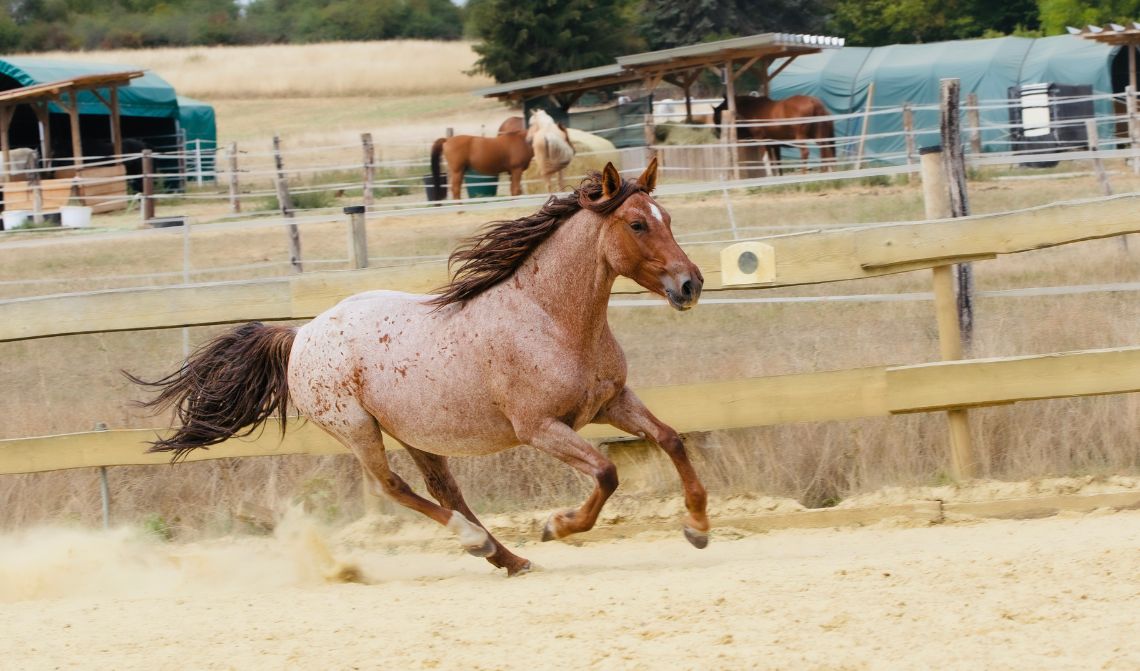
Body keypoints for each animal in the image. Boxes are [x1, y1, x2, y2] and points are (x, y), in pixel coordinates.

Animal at [129, 158, 706, 576]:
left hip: (414, 430)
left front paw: (698, 526)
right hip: (358, 429)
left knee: (443, 489)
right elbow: (607, 473)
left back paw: (506, 557)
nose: (690, 284)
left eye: (669, 220)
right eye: (637, 223)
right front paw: (557, 525)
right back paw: (479, 543)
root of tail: (300, 336)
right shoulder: (541, 427)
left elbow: (671, 438)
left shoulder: (611, 402)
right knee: (393, 487)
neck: (551, 318)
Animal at [711, 95, 839, 173]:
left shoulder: (761, 139)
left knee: (806, 152)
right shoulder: (772, 143)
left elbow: (766, 159)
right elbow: (775, 161)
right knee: (826, 150)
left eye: (717, 116)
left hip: (801, 137)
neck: (753, 109)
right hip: (819, 136)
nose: (716, 134)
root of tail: (814, 102)